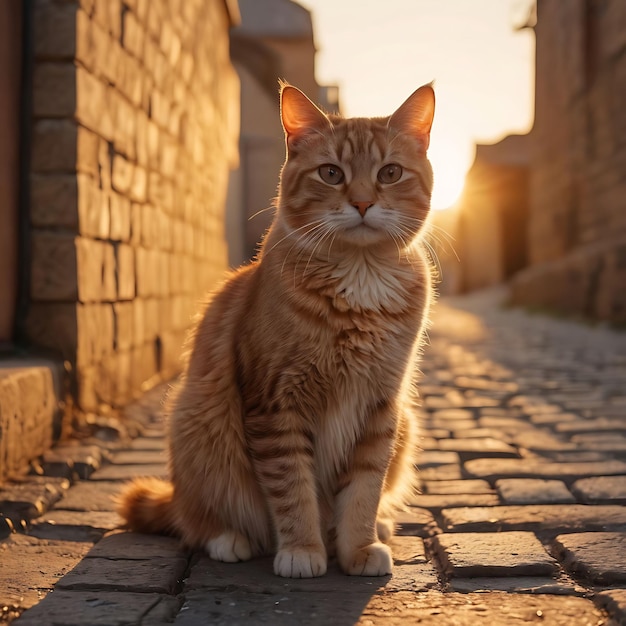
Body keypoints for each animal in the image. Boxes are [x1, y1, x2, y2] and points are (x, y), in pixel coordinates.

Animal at [119, 81, 436, 576]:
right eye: (330, 173)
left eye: (389, 173)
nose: (363, 202)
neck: (360, 279)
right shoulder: (275, 404)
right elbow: (293, 492)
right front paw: (303, 549)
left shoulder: (380, 407)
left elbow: (363, 492)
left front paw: (359, 547)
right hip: (197, 422)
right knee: (195, 519)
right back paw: (230, 539)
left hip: (407, 422)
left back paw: (377, 528)